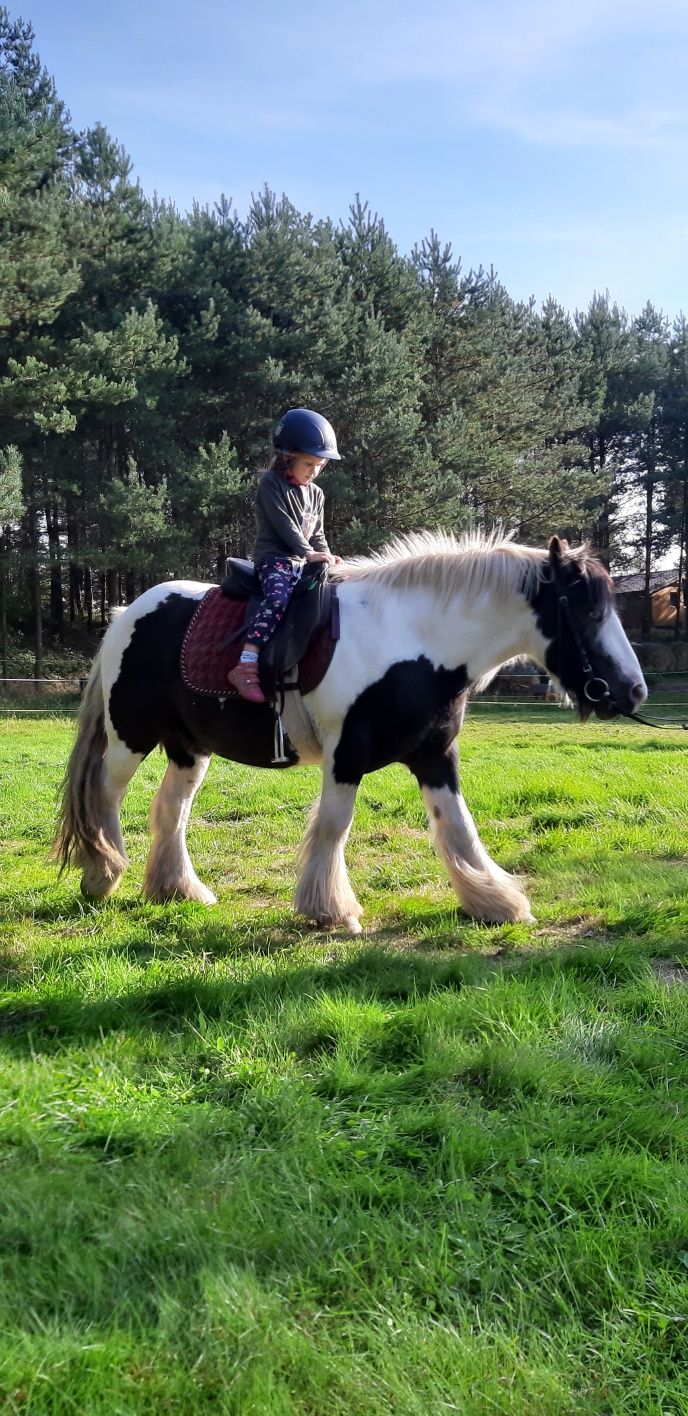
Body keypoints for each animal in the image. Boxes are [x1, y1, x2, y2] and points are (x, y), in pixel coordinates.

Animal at [56, 532, 648, 928]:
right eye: (586, 610)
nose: (633, 691)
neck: (414, 642)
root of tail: (125, 613)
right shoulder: (348, 754)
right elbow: (334, 825)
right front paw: (329, 910)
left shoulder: (435, 754)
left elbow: (458, 826)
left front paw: (495, 901)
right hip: (130, 737)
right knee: (103, 794)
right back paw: (101, 874)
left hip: (189, 748)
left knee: (170, 809)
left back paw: (177, 889)